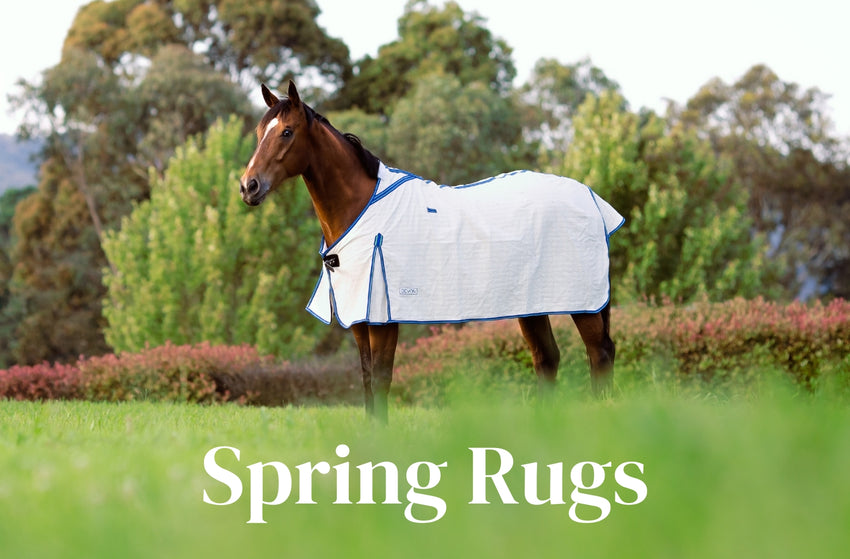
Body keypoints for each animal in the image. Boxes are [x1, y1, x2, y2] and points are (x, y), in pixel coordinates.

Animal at [240, 81, 622, 423]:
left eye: (287, 132)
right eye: (260, 132)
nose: (248, 186)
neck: (361, 207)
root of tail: (591, 198)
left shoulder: (382, 317)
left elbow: (382, 376)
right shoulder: (360, 317)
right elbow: (366, 377)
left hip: (584, 305)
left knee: (599, 354)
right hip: (531, 305)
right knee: (547, 359)